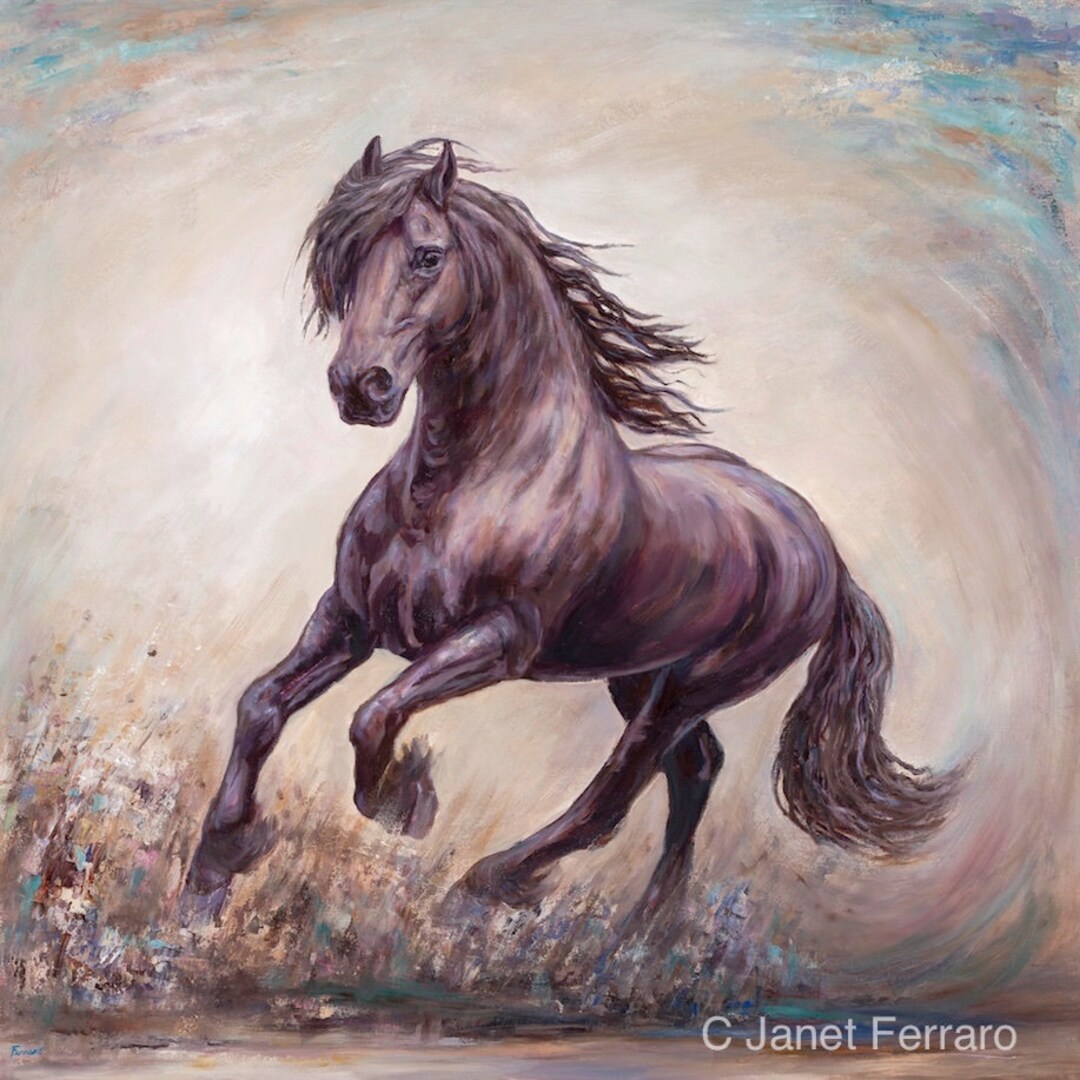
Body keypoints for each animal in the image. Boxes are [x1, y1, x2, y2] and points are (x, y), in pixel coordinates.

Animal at [183, 137, 957, 920]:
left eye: (428, 256)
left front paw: (408, 800)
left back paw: (494, 883)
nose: (358, 386)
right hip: (637, 671)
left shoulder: (500, 638)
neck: (459, 488)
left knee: (615, 793)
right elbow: (260, 705)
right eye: (345, 264)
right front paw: (216, 863)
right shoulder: (350, 617)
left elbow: (374, 715)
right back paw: (644, 929)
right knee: (695, 769)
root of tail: (826, 552)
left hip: (692, 685)